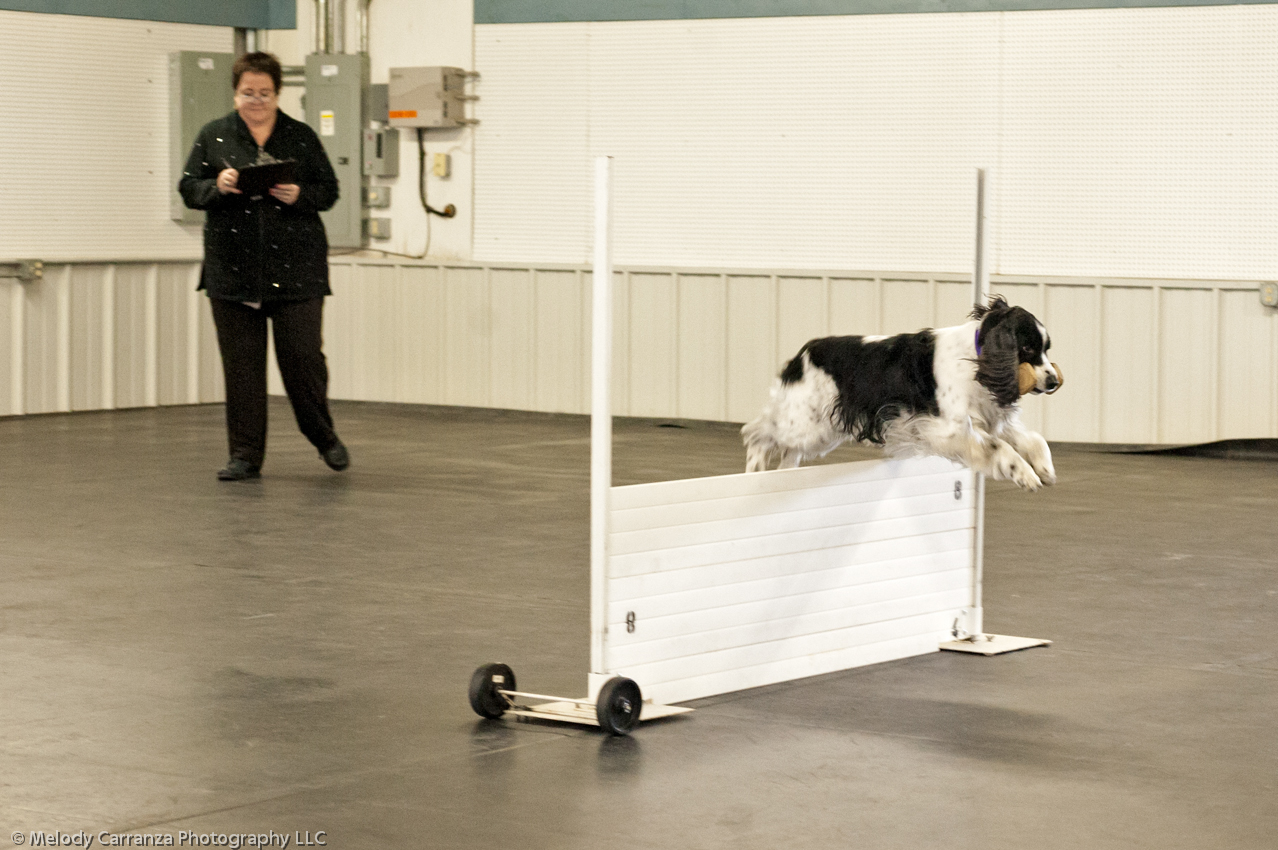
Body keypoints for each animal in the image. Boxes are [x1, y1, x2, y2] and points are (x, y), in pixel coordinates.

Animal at [746, 295, 1063, 488]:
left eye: (1047, 349)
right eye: (1028, 348)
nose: (1053, 381)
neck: (977, 356)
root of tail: (802, 355)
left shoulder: (988, 419)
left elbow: (1032, 439)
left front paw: (1044, 468)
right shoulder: (949, 430)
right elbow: (1000, 448)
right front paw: (1025, 475)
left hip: (823, 430)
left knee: (787, 454)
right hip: (804, 422)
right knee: (759, 433)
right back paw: (754, 469)